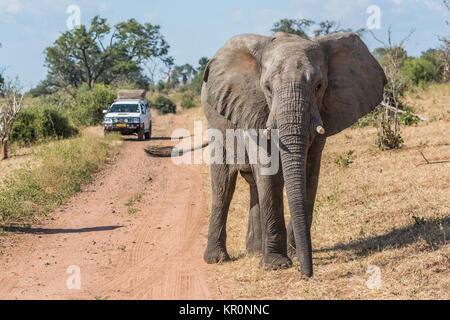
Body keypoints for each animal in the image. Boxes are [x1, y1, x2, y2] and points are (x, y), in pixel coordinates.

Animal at [200, 32, 386, 278]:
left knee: (252, 185)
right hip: (215, 121)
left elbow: (310, 173)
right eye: (267, 88)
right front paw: (276, 264)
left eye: (319, 86)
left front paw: (293, 256)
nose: (306, 274)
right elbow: (268, 171)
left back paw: (255, 252)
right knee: (223, 184)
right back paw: (217, 259)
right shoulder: (254, 108)